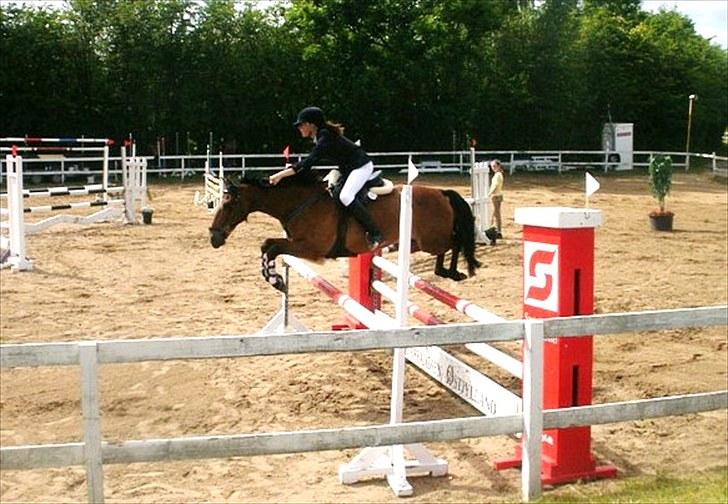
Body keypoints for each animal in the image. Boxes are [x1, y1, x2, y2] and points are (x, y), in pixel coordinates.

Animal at [209, 171, 481, 292]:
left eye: (228, 203)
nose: (214, 236)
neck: (300, 202)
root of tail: (442, 193)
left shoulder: (310, 247)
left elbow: (272, 247)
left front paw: (276, 280)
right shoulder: (295, 242)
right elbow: (267, 245)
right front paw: (274, 278)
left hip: (432, 238)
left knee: (455, 242)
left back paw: (452, 271)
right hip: (418, 241)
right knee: (448, 245)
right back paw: (444, 270)